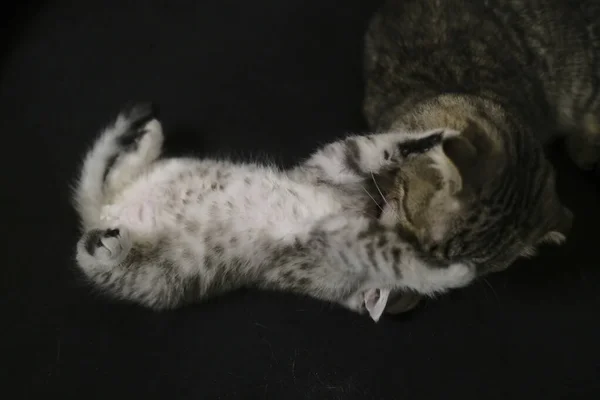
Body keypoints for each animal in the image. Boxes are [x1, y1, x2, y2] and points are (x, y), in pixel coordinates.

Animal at [74, 101, 568, 320]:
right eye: (408, 222)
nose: (415, 239)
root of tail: (108, 213)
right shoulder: (335, 176)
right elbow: (375, 147)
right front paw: (431, 137)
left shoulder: (343, 227)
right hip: (154, 274)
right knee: (96, 227)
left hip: (153, 254)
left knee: (111, 189)